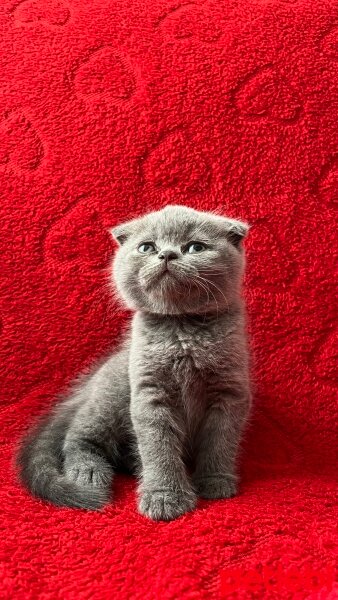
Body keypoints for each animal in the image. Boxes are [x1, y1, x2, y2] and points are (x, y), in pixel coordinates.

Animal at [17, 205, 252, 520]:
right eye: (147, 247)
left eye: (195, 247)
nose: (167, 254)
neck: (182, 330)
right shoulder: (148, 392)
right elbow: (158, 445)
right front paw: (164, 496)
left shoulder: (229, 392)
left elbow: (220, 441)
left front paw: (215, 481)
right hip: (112, 396)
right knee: (78, 437)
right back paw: (87, 472)